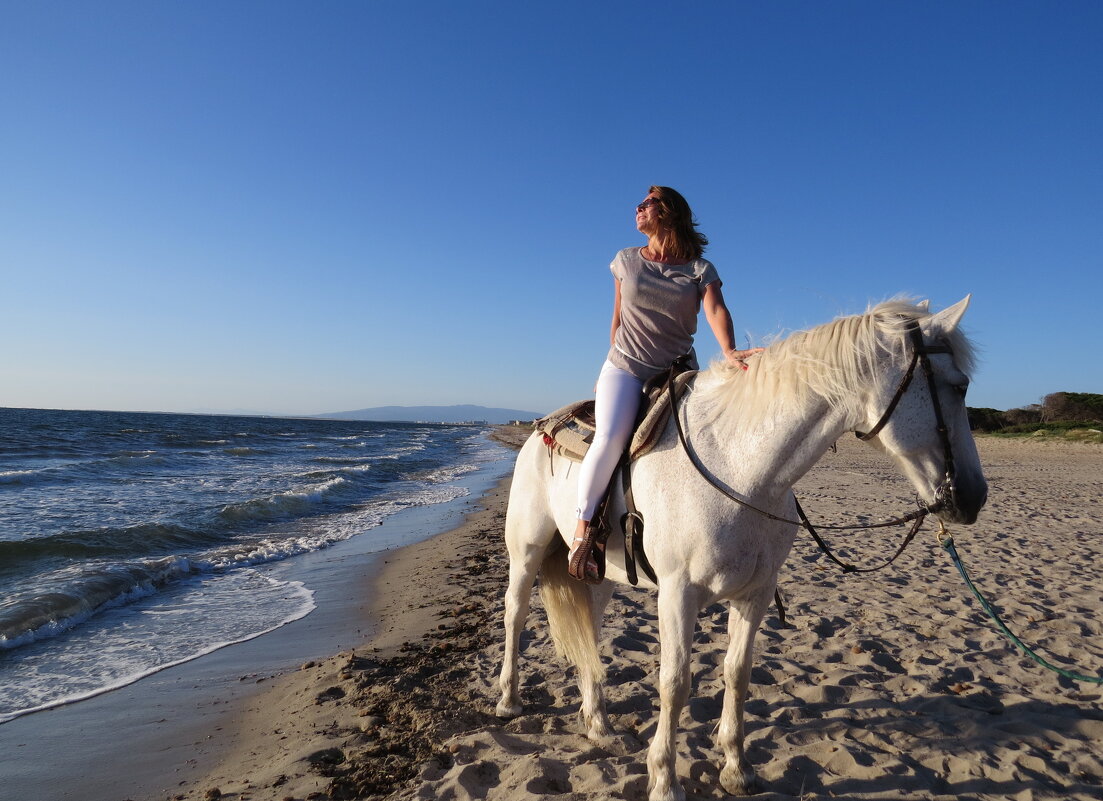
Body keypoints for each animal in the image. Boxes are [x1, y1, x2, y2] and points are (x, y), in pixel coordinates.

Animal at [496, 297, 988, 798]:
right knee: (516, 612)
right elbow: (674, 683)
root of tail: (540, 428)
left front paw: (736, 767)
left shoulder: (755, 593)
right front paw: (664, 779)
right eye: (960, 386)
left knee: (590, 630)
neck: (739, 467)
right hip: (527, 550)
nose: (973, 497)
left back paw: (597, 722)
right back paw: (509, 700)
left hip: (600, 574)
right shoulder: (677, 594)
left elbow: (737, 673)